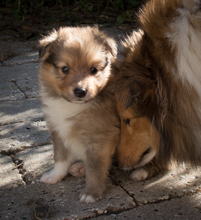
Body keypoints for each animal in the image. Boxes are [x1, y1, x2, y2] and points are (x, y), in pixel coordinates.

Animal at [38, 26, 119, 204]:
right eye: (65, 69)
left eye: (93, 70)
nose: (80, 91)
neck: (72, 105)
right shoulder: (57, 130)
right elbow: (60, 157)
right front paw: (55, 176)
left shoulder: (100, 138)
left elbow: (96, 167)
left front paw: (91, 192)